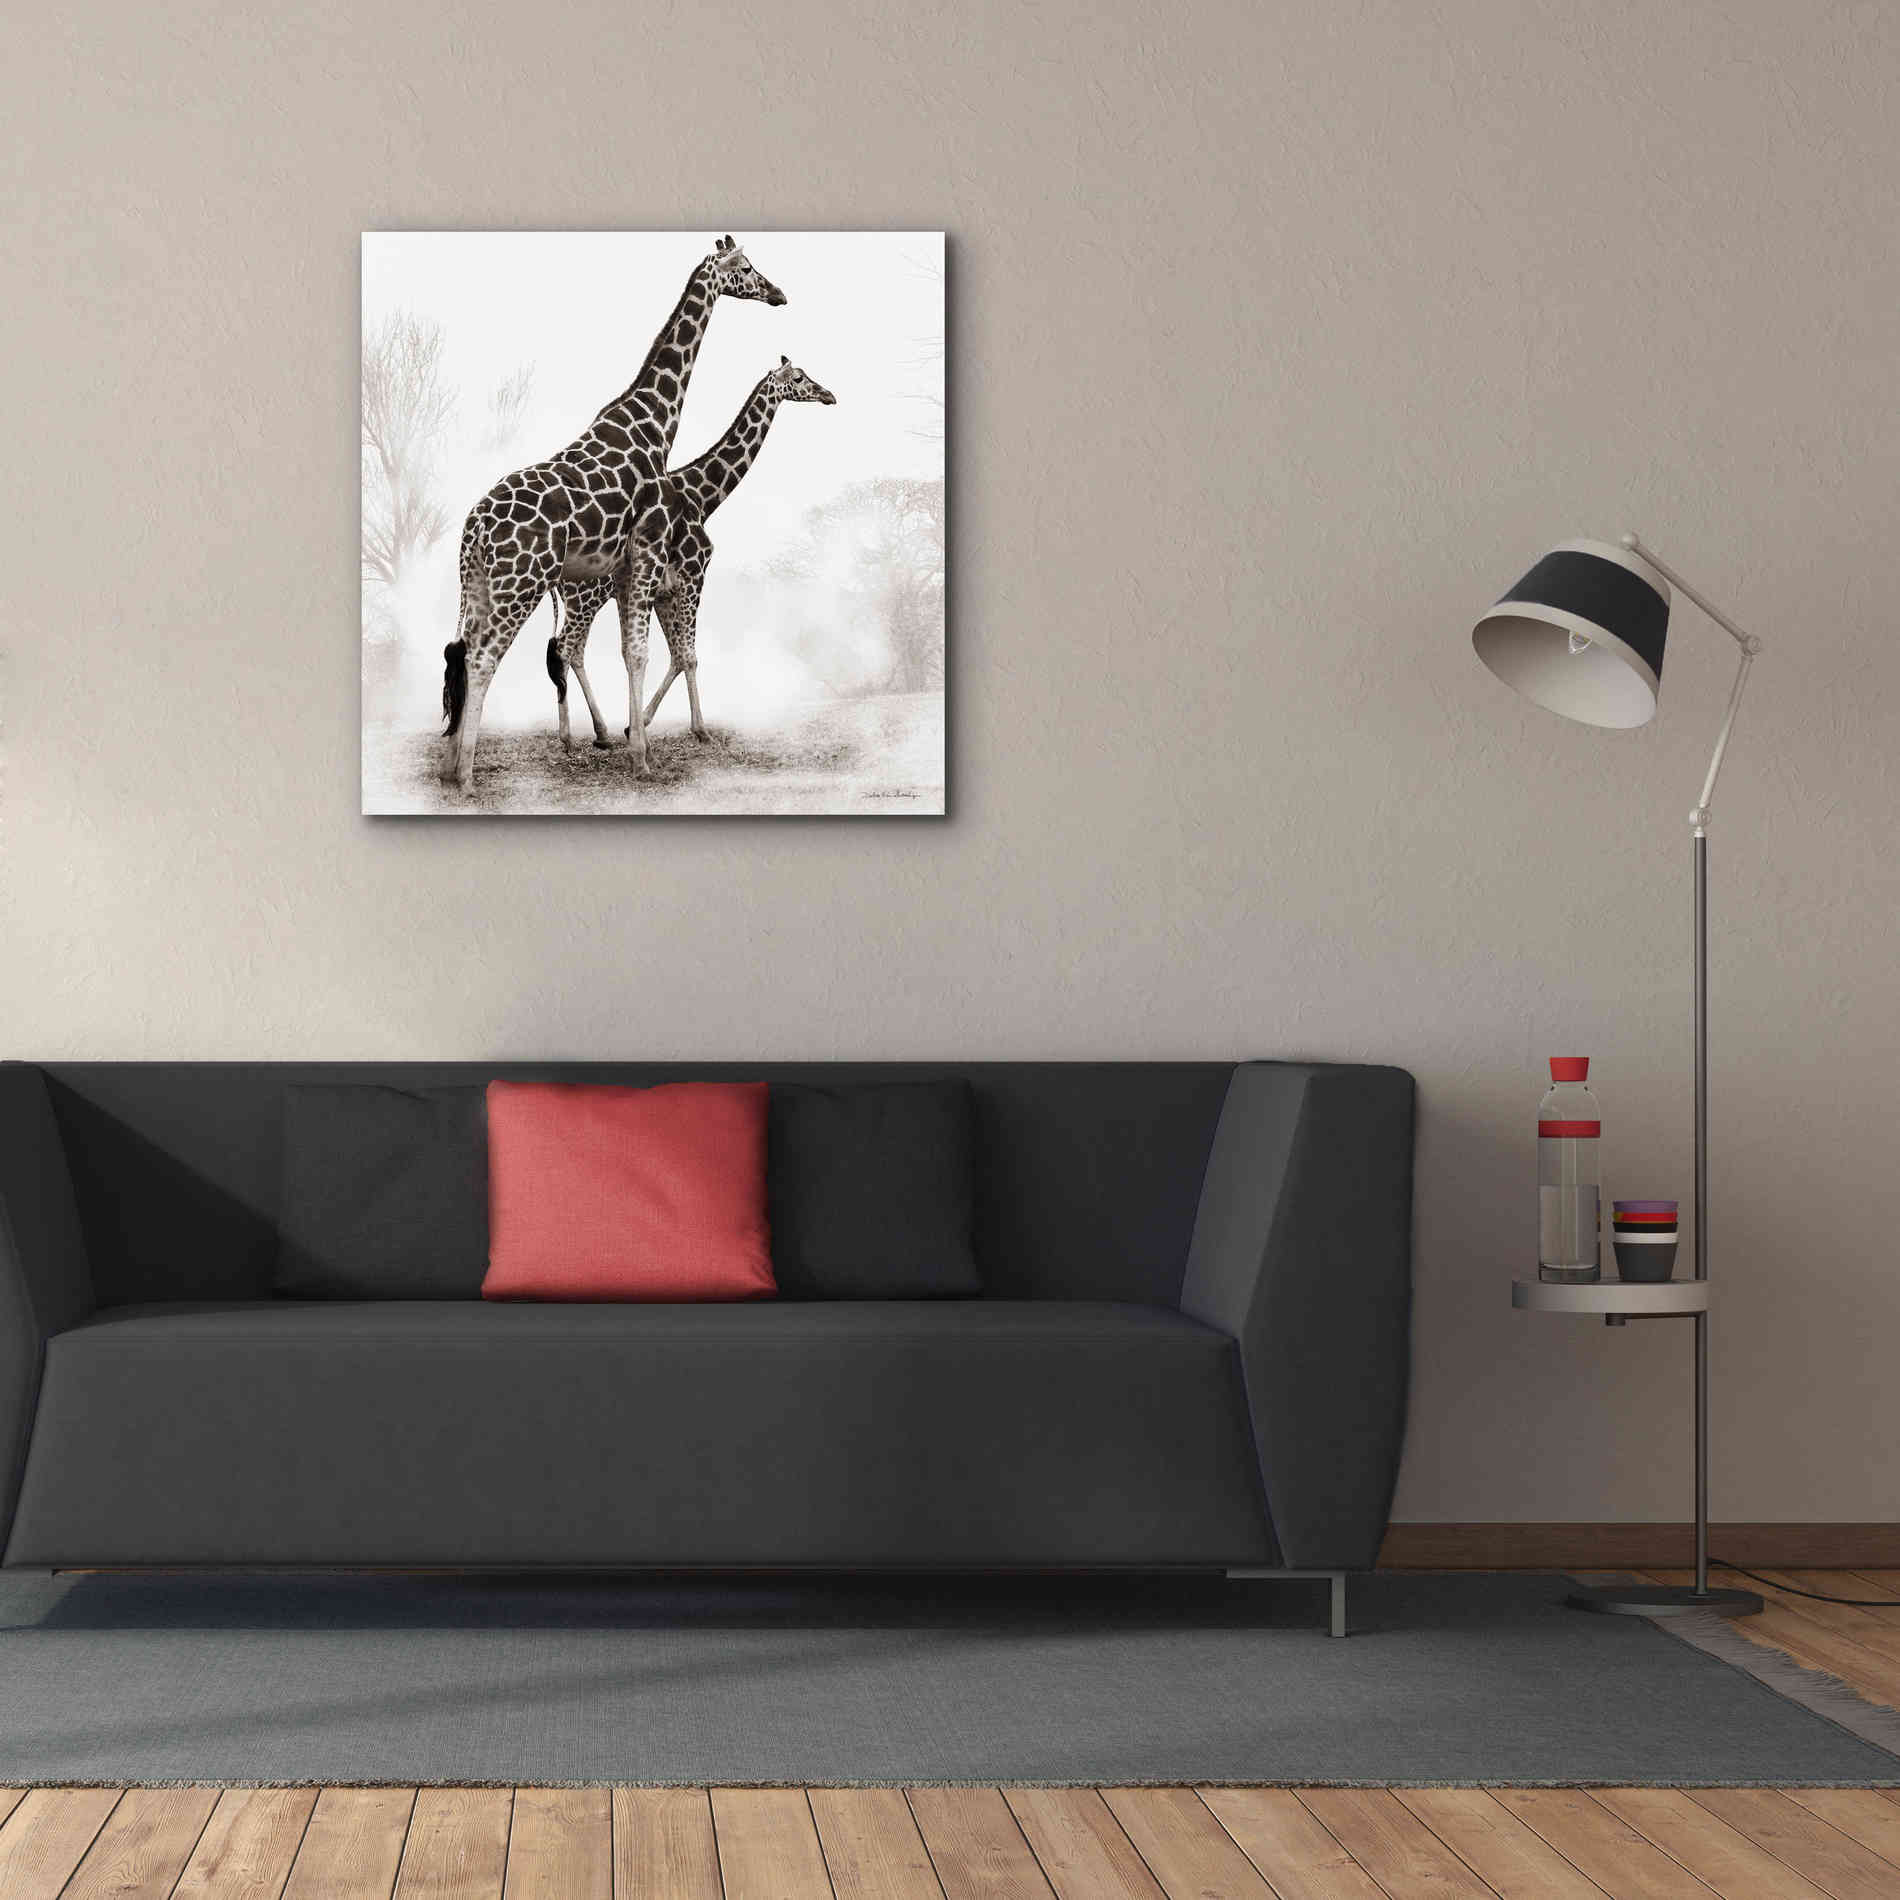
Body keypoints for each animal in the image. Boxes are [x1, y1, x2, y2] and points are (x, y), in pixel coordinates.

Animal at [441, 236, 786, 792]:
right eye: (747, 267)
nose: (779, 294)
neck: (655, 424)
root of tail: (474, 529)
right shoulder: (650, 551)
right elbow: (646, 652)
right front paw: (641, 756)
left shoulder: (630, 567)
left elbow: (633, 651)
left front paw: (634, 743)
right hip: (522, 584)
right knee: (487, 656)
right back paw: (469, 775)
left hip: (479, 584)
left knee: (465, 650)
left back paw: (450, 765)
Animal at [547, 358, 837, 748]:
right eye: (799, 378)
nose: (829, 395)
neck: (702, 496)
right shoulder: (693, 575)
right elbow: (689, 655)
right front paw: (698, 729)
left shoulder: (665, 591)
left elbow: (675, 655)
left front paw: (637, 725)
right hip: (586, 597)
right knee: (566, 648)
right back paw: (577, 734)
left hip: (584, 599)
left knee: (571, 650)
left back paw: (595, 732)